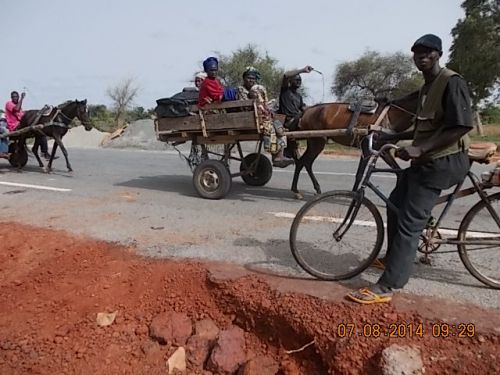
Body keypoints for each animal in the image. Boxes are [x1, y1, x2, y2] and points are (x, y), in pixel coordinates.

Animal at [286, 93, 418, 200]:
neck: (391, 115)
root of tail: (305, 111)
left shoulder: (383, 150)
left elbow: (398, 172)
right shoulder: (367, 148)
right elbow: (359, 174)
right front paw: (353, 195)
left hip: (315, 142)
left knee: (304, 162)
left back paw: (309, 189)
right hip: (317, 142)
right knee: (304, 162)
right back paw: (297, 190)